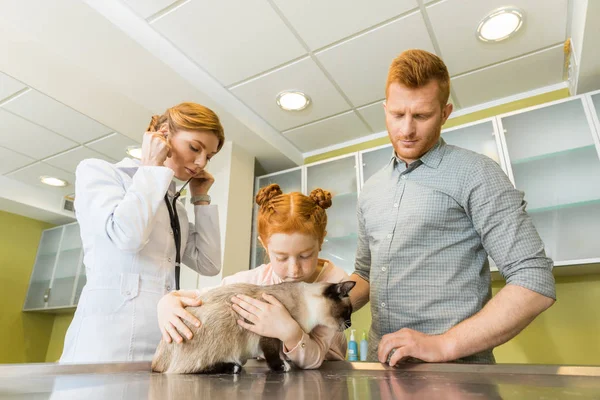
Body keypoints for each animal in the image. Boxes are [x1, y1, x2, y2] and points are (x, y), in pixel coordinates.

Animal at [151, 280, 356, 374]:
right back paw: (233, 367)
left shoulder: (282, 335)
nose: (350, 324)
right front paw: (281, 367)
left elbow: (283, 351)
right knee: (187, 369)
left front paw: (286, 362)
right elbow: (273, 355)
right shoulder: (269, 336)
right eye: (348, 311)